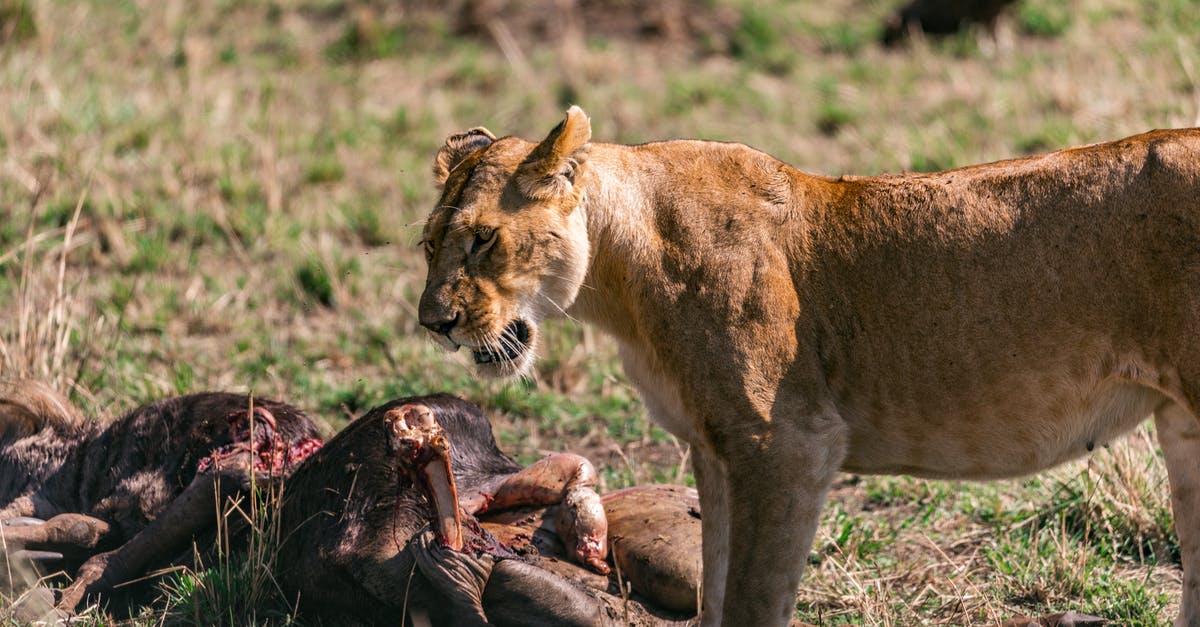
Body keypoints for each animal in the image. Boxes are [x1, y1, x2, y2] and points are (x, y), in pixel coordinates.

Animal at [417, 106, 1200, 626]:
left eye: (483, 239)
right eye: (429, 244)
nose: (432, 323)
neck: (619, 273)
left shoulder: (785, 444)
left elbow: (753, 600)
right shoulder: (715, 448)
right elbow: (717, 588)